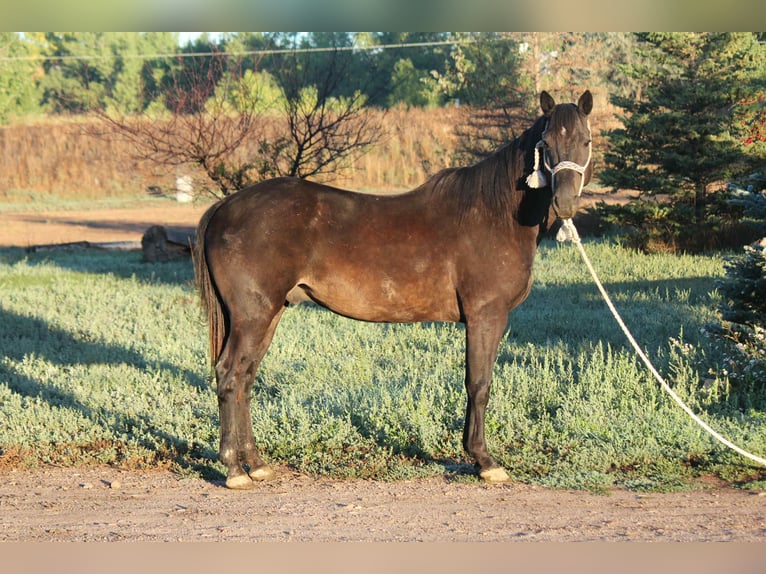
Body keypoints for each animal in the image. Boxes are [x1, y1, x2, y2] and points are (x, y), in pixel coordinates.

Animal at [194, 90, 594, 489]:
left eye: (586, 141)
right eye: (546, 143)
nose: (565, 204)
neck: (494, 213)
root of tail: (225, 206)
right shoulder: (486, 315)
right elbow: (479, 384)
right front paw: (484, 461)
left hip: (269, 313)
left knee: (245, 377)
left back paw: (256, 463)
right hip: (254, 315)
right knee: (229, 374)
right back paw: (234, 469)